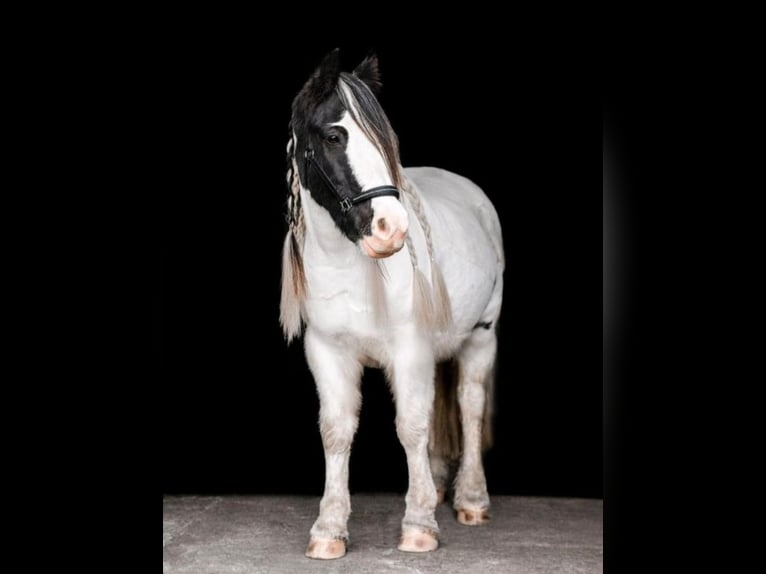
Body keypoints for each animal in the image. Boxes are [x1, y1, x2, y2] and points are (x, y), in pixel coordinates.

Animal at [280, 49, 505, 559]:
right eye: (334, 136)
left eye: (386, 143)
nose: (391, 229)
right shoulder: (327, 351)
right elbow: (336, 430)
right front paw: (328, 530)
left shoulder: (409, 350)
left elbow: (412, 427)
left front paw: (419, 526)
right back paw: (440, 486)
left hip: (480, 337)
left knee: (469, 404)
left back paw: (471, 500)